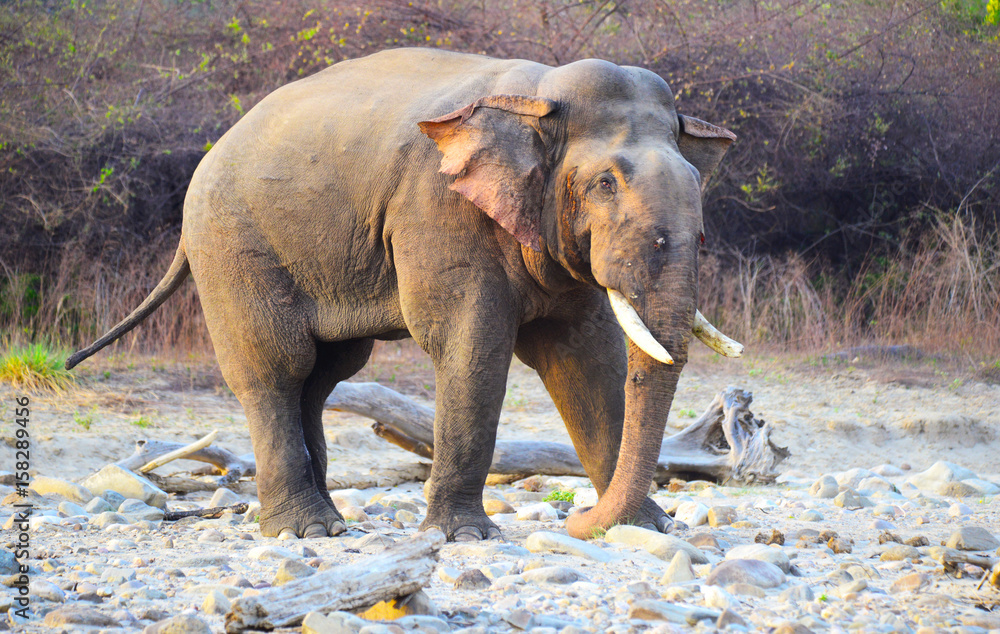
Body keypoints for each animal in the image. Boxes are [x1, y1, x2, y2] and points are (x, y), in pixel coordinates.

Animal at [68, 48, 744, 540]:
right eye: (605, 183)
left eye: (696, 178)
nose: (578, 519)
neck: (535, 94)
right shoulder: (439, 211)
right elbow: (471, 346)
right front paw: (463, 538)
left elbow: (582, 358)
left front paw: (648, 529)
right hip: (234, 249)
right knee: (276, 368)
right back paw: (305, 532)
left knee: (327, 372)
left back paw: (330, 521)